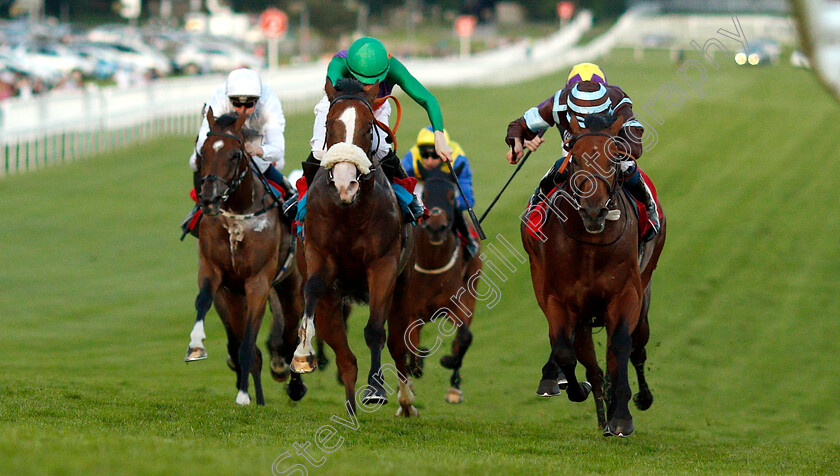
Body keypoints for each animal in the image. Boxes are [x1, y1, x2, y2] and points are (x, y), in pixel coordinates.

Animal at [184, 109, 306, 406]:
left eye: (235, 154)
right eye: (203, 151)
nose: (210, 199)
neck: (238, 214)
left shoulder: (258, 283)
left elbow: (249, 343)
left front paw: (242, 397)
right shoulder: (215, 273)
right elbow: (203, 302)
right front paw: (195, 346)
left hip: (292, 287)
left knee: (289, 337)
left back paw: (292, 382)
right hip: (234, 298)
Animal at [292, 78, 420, 416]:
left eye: (367, 128)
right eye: (328, 124)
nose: (345, 183)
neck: (349, 211)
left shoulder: (383, 265)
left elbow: (375, 330)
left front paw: (376, 389)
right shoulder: (318, 254)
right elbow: (312, 289)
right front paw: (302, 354)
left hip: (403, 289)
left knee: (398, 345)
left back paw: (405, 401)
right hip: (334, 302)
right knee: (345, 356)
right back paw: (350, 409)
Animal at [404, 169, 482, 404]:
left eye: (451, 196)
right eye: (425, 193)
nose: (436, 227)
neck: (432, 264)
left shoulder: (455, 305)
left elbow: (464, 336)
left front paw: (448, 360)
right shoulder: (411, 312)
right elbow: (411, 346)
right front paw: (417, 365)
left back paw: (454, 386)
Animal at [520, 111, 668, 436]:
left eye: (615, 158)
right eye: (574, 159)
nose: (593, 210)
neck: (590, 247)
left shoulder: (626, 294)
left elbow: (620, 347)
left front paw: (621, 415)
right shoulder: (559, 298)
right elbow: (567, 350)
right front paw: (580, 389)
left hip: (644, 292)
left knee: (637, 349)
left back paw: (637, 400)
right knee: (581, 352)